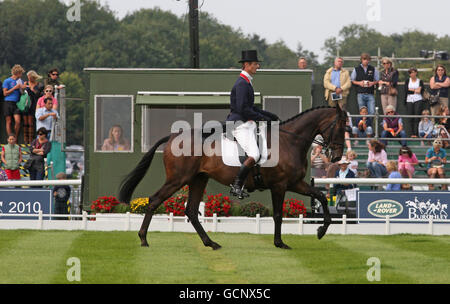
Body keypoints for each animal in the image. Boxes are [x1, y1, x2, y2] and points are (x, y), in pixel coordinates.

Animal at [118, 106, 346, 249]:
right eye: (341, 127)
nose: (337, 157)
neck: (289, 141)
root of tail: (174, 136)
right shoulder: (280, 185)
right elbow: (278, 215)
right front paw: (280, 243)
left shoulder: (295, 183)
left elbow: (321, 196)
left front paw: (321, 230)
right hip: (178, 179)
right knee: (155, 200)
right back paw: (143, 239)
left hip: (198, 179)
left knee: (191, 211)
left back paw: (211, 243)